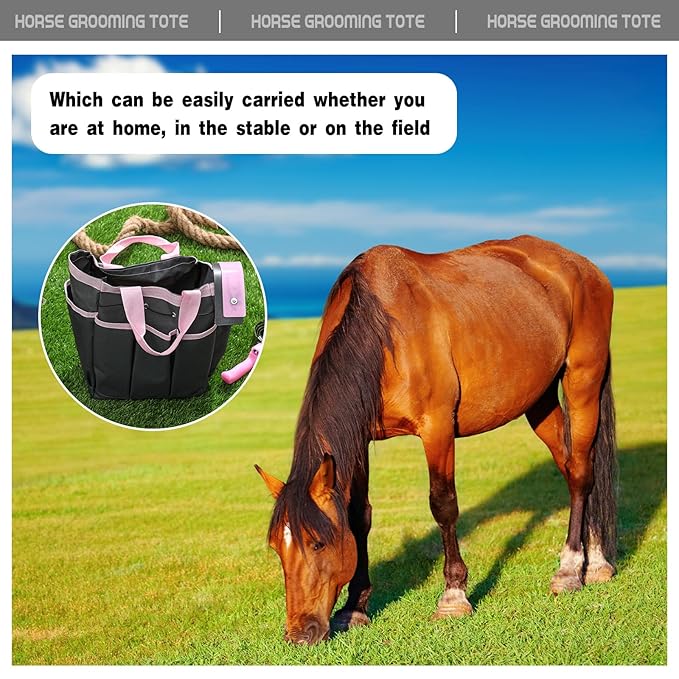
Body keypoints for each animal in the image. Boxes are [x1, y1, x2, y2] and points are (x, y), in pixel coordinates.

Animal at [256, 235, 617, 645]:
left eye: (317, 543)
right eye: (276, 548)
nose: (299, 633)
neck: (384, 332)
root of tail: (584, 267)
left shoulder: (438, 429)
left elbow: (443, 505)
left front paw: (454, 596)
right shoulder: (359, 441)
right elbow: (359, 515)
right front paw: (355, 606)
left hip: (583, 381)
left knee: (582, 473)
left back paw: (575, 567)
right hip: (539, 401)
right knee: (571, 467)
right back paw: (592, 559)